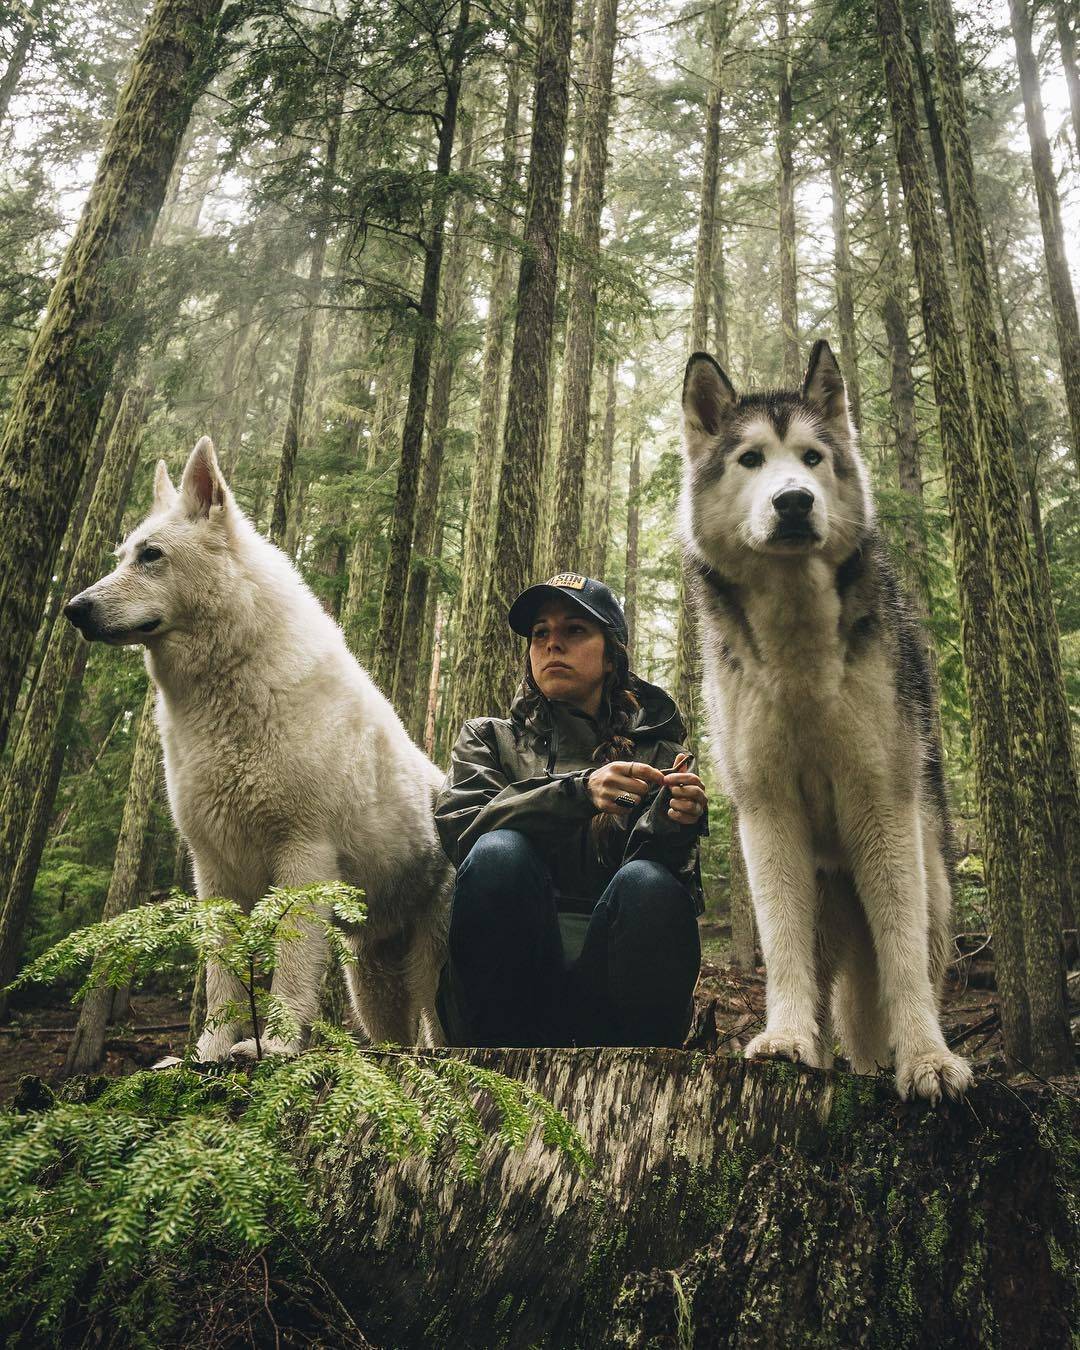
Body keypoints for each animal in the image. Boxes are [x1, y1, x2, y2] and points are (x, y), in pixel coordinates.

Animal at [65, 437, 448, 1058]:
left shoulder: (304, 854)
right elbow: (221, 972)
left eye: (151, 556)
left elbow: (289, 968)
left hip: (428, 972)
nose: (73, 609)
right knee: (392, 1033)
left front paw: (278, 1048)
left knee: (440, 1028)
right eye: (122, 556)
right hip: (370, 980)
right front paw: (211, 1051)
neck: (227, 694)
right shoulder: (214, 869)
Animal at [680, 342, 972, 1101]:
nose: (793, 500)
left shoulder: (880, 801)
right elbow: (781, 950)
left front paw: (927, 1061)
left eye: (811, 457)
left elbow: (902, 960)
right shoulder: (766, 810)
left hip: (931, 885)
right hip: (824, 903)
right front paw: (785, 1040)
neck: (799, 659)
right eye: (752, 459)